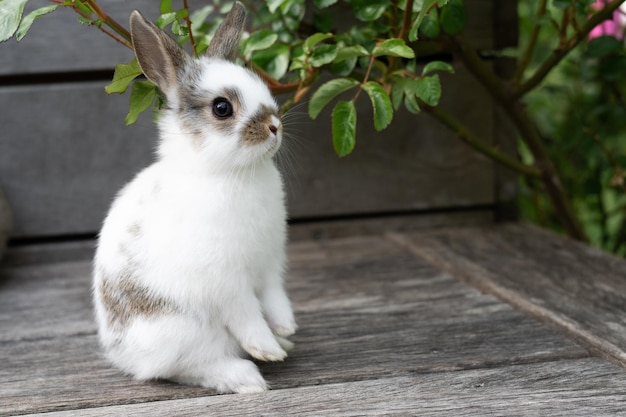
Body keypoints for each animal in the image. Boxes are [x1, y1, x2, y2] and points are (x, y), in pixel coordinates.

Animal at [91, 2, 296, 394]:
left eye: (261, 87)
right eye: (222, 108)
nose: (274, 126)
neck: (226, 172)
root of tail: (119, 354)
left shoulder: (270, 265)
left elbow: (274, 298)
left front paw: (286, 328)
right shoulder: (226, 281)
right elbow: (246, 315)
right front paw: (267, 350)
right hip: (181, 330)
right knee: (184, 367)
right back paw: (247, 377)